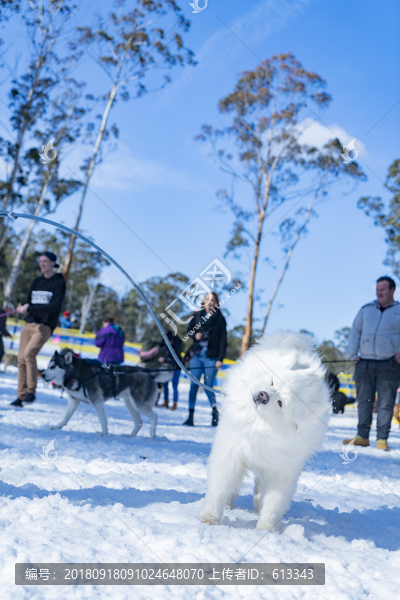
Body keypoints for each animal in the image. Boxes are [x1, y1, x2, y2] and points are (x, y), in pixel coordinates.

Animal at [42, 350, 173, 438]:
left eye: (53, 366)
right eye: (48, 366)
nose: (42, 375)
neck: (79, 374)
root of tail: (148, 373)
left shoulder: (97, 400)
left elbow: (102, 419)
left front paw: (104, 433)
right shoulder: (74, 401)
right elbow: (66, 417)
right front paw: (58, 426)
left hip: (139, 404)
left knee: (154, 416)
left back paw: (152, 435)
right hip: (130, 405)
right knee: (139, 422)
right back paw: (131, 436)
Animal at [198, 330, 330, 532]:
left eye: (281, 403)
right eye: (273, 381)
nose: (264, 395)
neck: (259, 428)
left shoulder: (283, 471)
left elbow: (273, 504)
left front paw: (266, 529)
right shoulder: (230, 454)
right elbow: (220, 488)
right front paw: (209, 519)